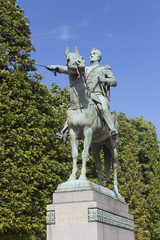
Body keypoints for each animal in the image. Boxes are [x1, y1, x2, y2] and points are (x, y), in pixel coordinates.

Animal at [65, 47, 120, 199]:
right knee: (99, 164)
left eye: (81, 57)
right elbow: (75, 154)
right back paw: (101, 186)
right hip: (97, 145)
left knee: (114, 164)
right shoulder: (73, 133)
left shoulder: (87, 132)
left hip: (112, 145)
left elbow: (83, 154)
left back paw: (116, 191)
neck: (79, 104)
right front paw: (72, 178)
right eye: (68, 59)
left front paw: (82, 178)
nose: (80, 63)